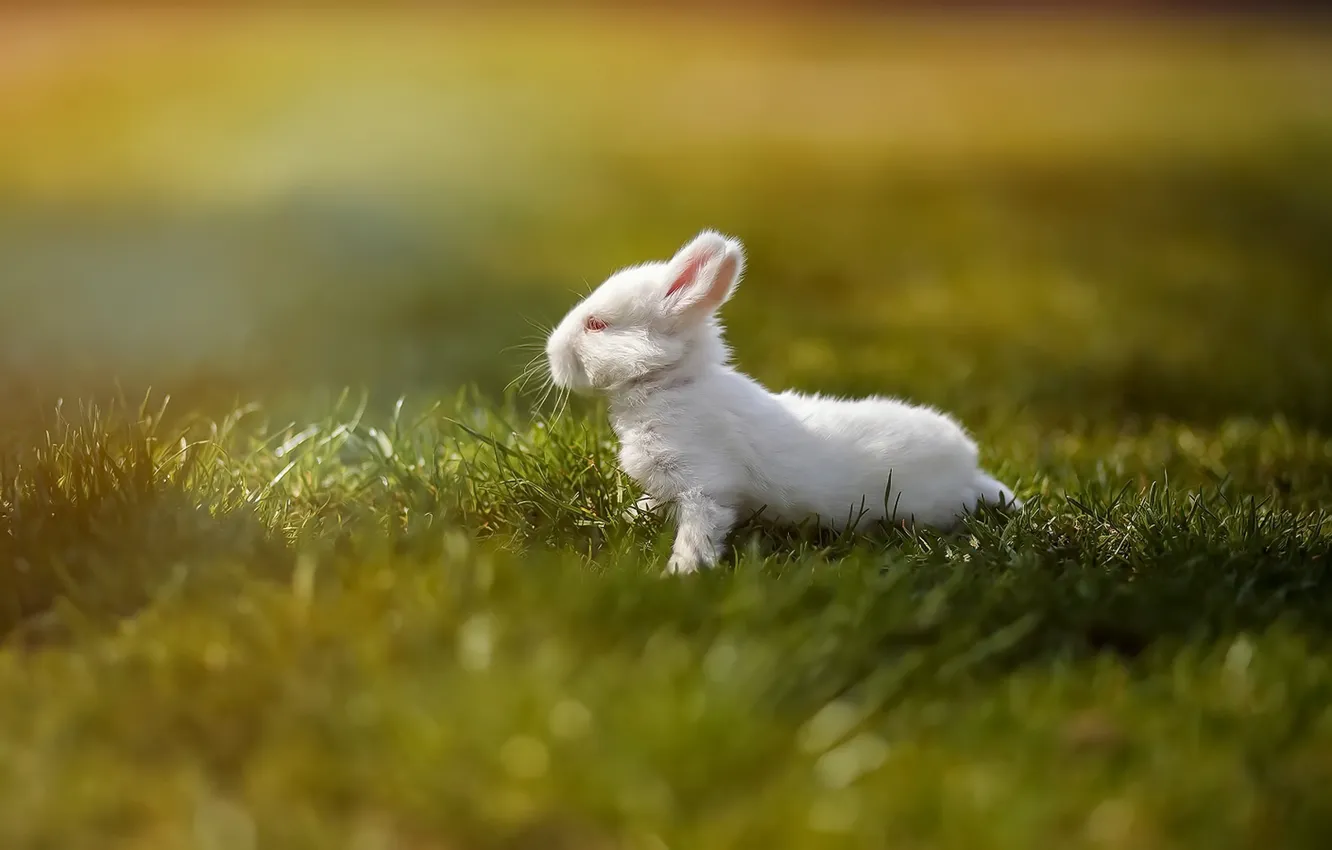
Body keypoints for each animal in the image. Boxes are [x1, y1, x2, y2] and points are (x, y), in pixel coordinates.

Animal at [545, 229, 1022, 574]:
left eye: (596, 324)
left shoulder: (705, 487)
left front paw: (679, 575)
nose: (552, 352)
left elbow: (699, 533)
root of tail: (969, 464)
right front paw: (629, 518)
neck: (673, 384)